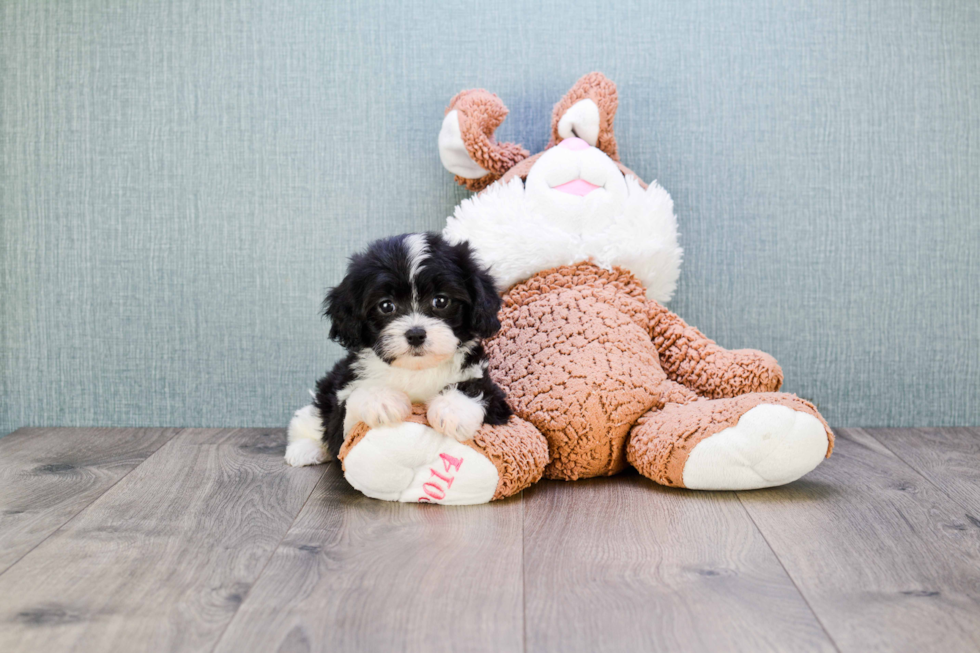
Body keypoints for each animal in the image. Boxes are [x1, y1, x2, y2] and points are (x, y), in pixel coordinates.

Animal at [284, 232, 512, 466]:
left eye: (441, 301)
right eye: (386, 305)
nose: (416, 334)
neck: (416, 370)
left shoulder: (494, 396)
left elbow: (476, 389)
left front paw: (452, 410)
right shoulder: (342, 419)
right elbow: (350, 407)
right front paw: (381, 400)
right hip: (326, 390)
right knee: (308, 418)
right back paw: (304, 449)